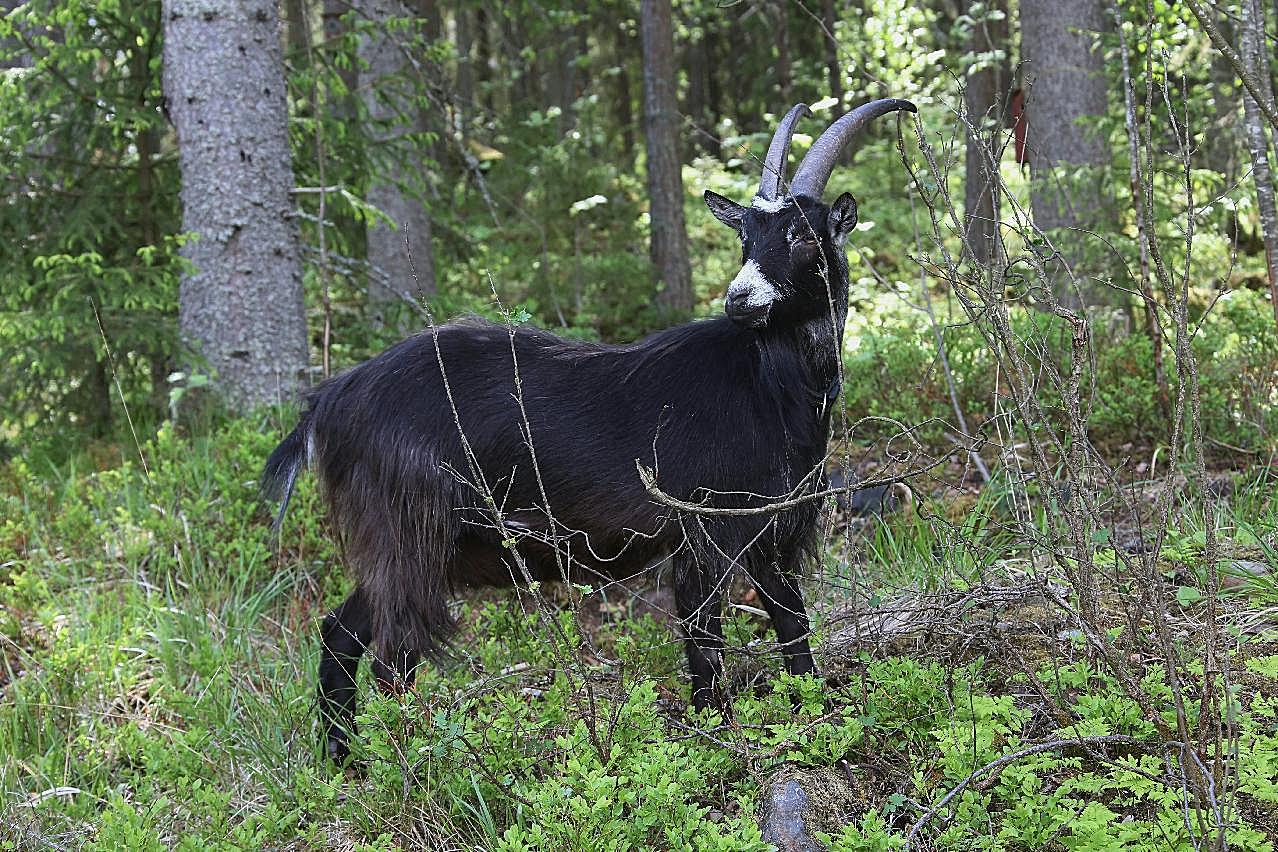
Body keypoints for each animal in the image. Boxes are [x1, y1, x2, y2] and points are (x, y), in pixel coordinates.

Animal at [264, 98, 915, 761]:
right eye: (745, 237)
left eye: (804, 234)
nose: (740, 300)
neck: (767, 382)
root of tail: (331, 399)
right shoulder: (702, 533)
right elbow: (704, 642)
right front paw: (715, 743)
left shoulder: (772, 534)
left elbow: (793, 627)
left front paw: (819, 721)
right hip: (407, 534)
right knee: (391, 659)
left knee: (341, 635)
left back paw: (346, 765)